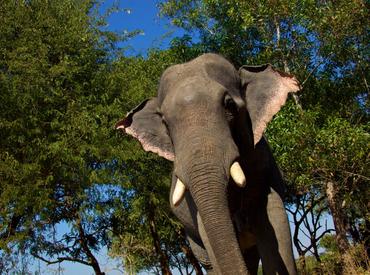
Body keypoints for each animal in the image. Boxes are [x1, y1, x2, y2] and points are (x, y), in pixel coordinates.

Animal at [116, 52, 300, 274]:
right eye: (165, 123)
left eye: (229, 105)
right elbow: (207, 232)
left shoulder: (263, 164)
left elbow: (274, 219)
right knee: (209, 262)